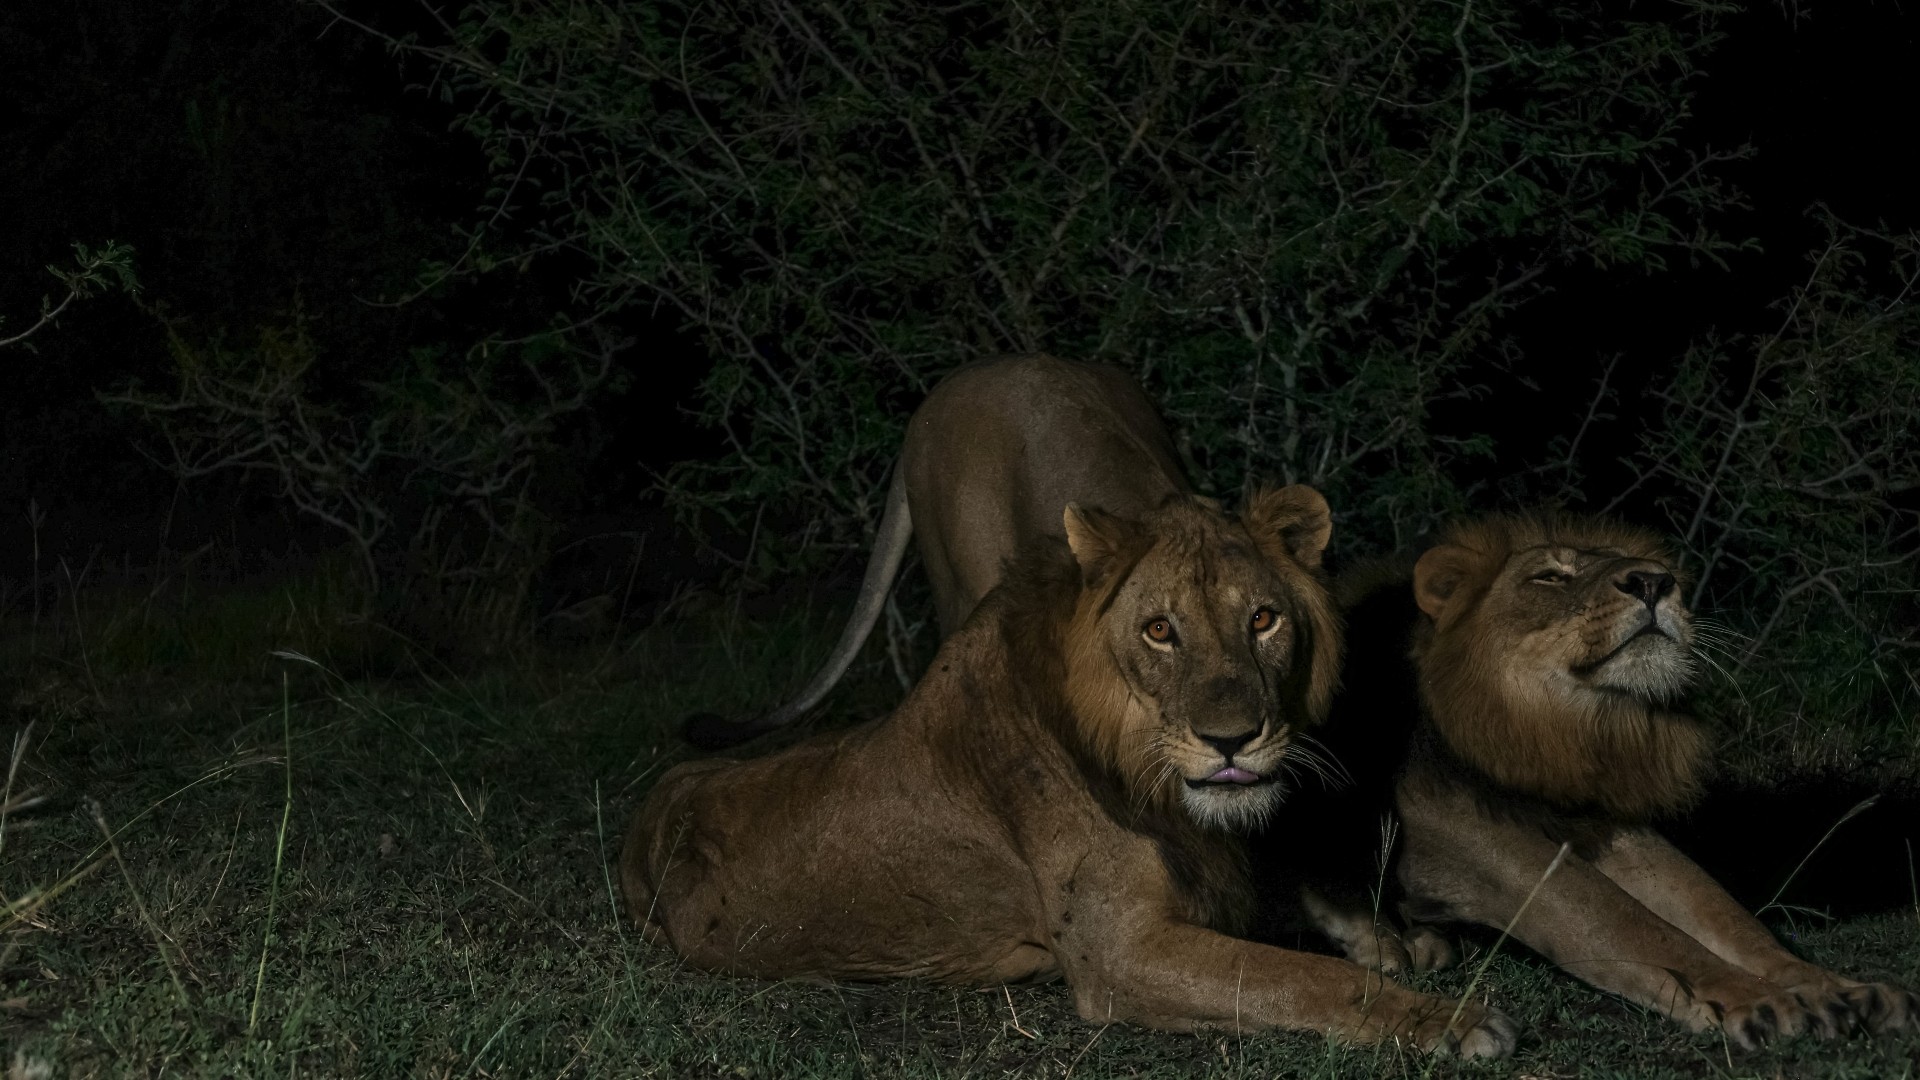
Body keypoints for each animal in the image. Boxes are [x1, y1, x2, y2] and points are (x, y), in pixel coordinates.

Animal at [622, 495, 1520, 1053]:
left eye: (1263, 619)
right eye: (1159, 630)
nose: (1233, 740)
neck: (1139, 763)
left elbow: (1296, 889)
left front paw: (1397, 938)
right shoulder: (1118, 954)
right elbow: (1296, 979)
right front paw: (1450, 1020)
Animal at [1290, 511, 1920, 1045]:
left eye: (1655, 572)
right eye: (1549, 576)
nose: (1655, 582)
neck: (1567, 729)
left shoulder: (1602, 823)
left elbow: (1724, 916)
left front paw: (1841, 990)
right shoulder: (1469, 834)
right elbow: (1627, 925)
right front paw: (1761, 1000)